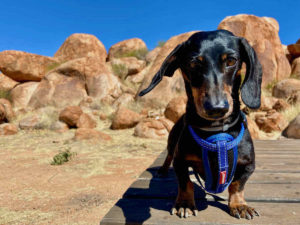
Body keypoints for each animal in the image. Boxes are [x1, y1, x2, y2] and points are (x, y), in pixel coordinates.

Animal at [139, 29, 262, 220]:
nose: (216, 108)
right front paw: (184, 204)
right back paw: (162, 170)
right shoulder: (180, 161)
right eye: (193, 63)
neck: (216, 132)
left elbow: (237, 185)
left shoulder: (248, 164)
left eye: (231, 61)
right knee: (168, 156)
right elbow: (185, 183)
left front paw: (239, 205)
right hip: (172, 141)